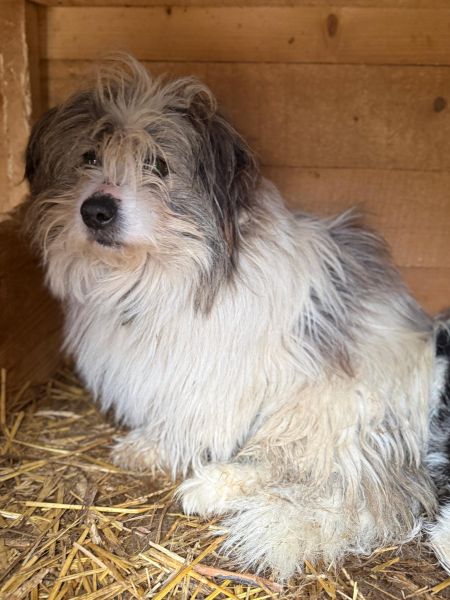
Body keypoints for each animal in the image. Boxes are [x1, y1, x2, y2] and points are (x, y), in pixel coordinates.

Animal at [22, 56, 450, 579]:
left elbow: (190, 418)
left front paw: (153, 447)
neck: (154, 274)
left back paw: (210, 487)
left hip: (325, 403)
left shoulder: (223, 376)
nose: (95, 210)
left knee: (306, 470)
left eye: (158, 165)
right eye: (89, 156)